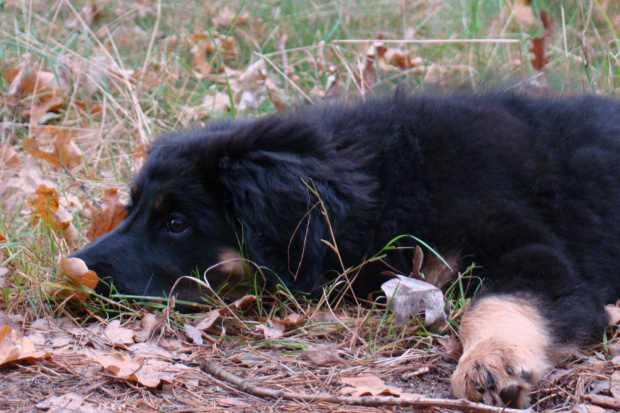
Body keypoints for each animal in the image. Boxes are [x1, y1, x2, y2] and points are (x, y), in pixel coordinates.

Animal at [72, 92, 620, 406]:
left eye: (176, 223)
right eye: (131, 209)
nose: (73, 271)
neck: (391, 180)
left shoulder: (525, 247)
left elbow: (500, 300)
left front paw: (493, 360)